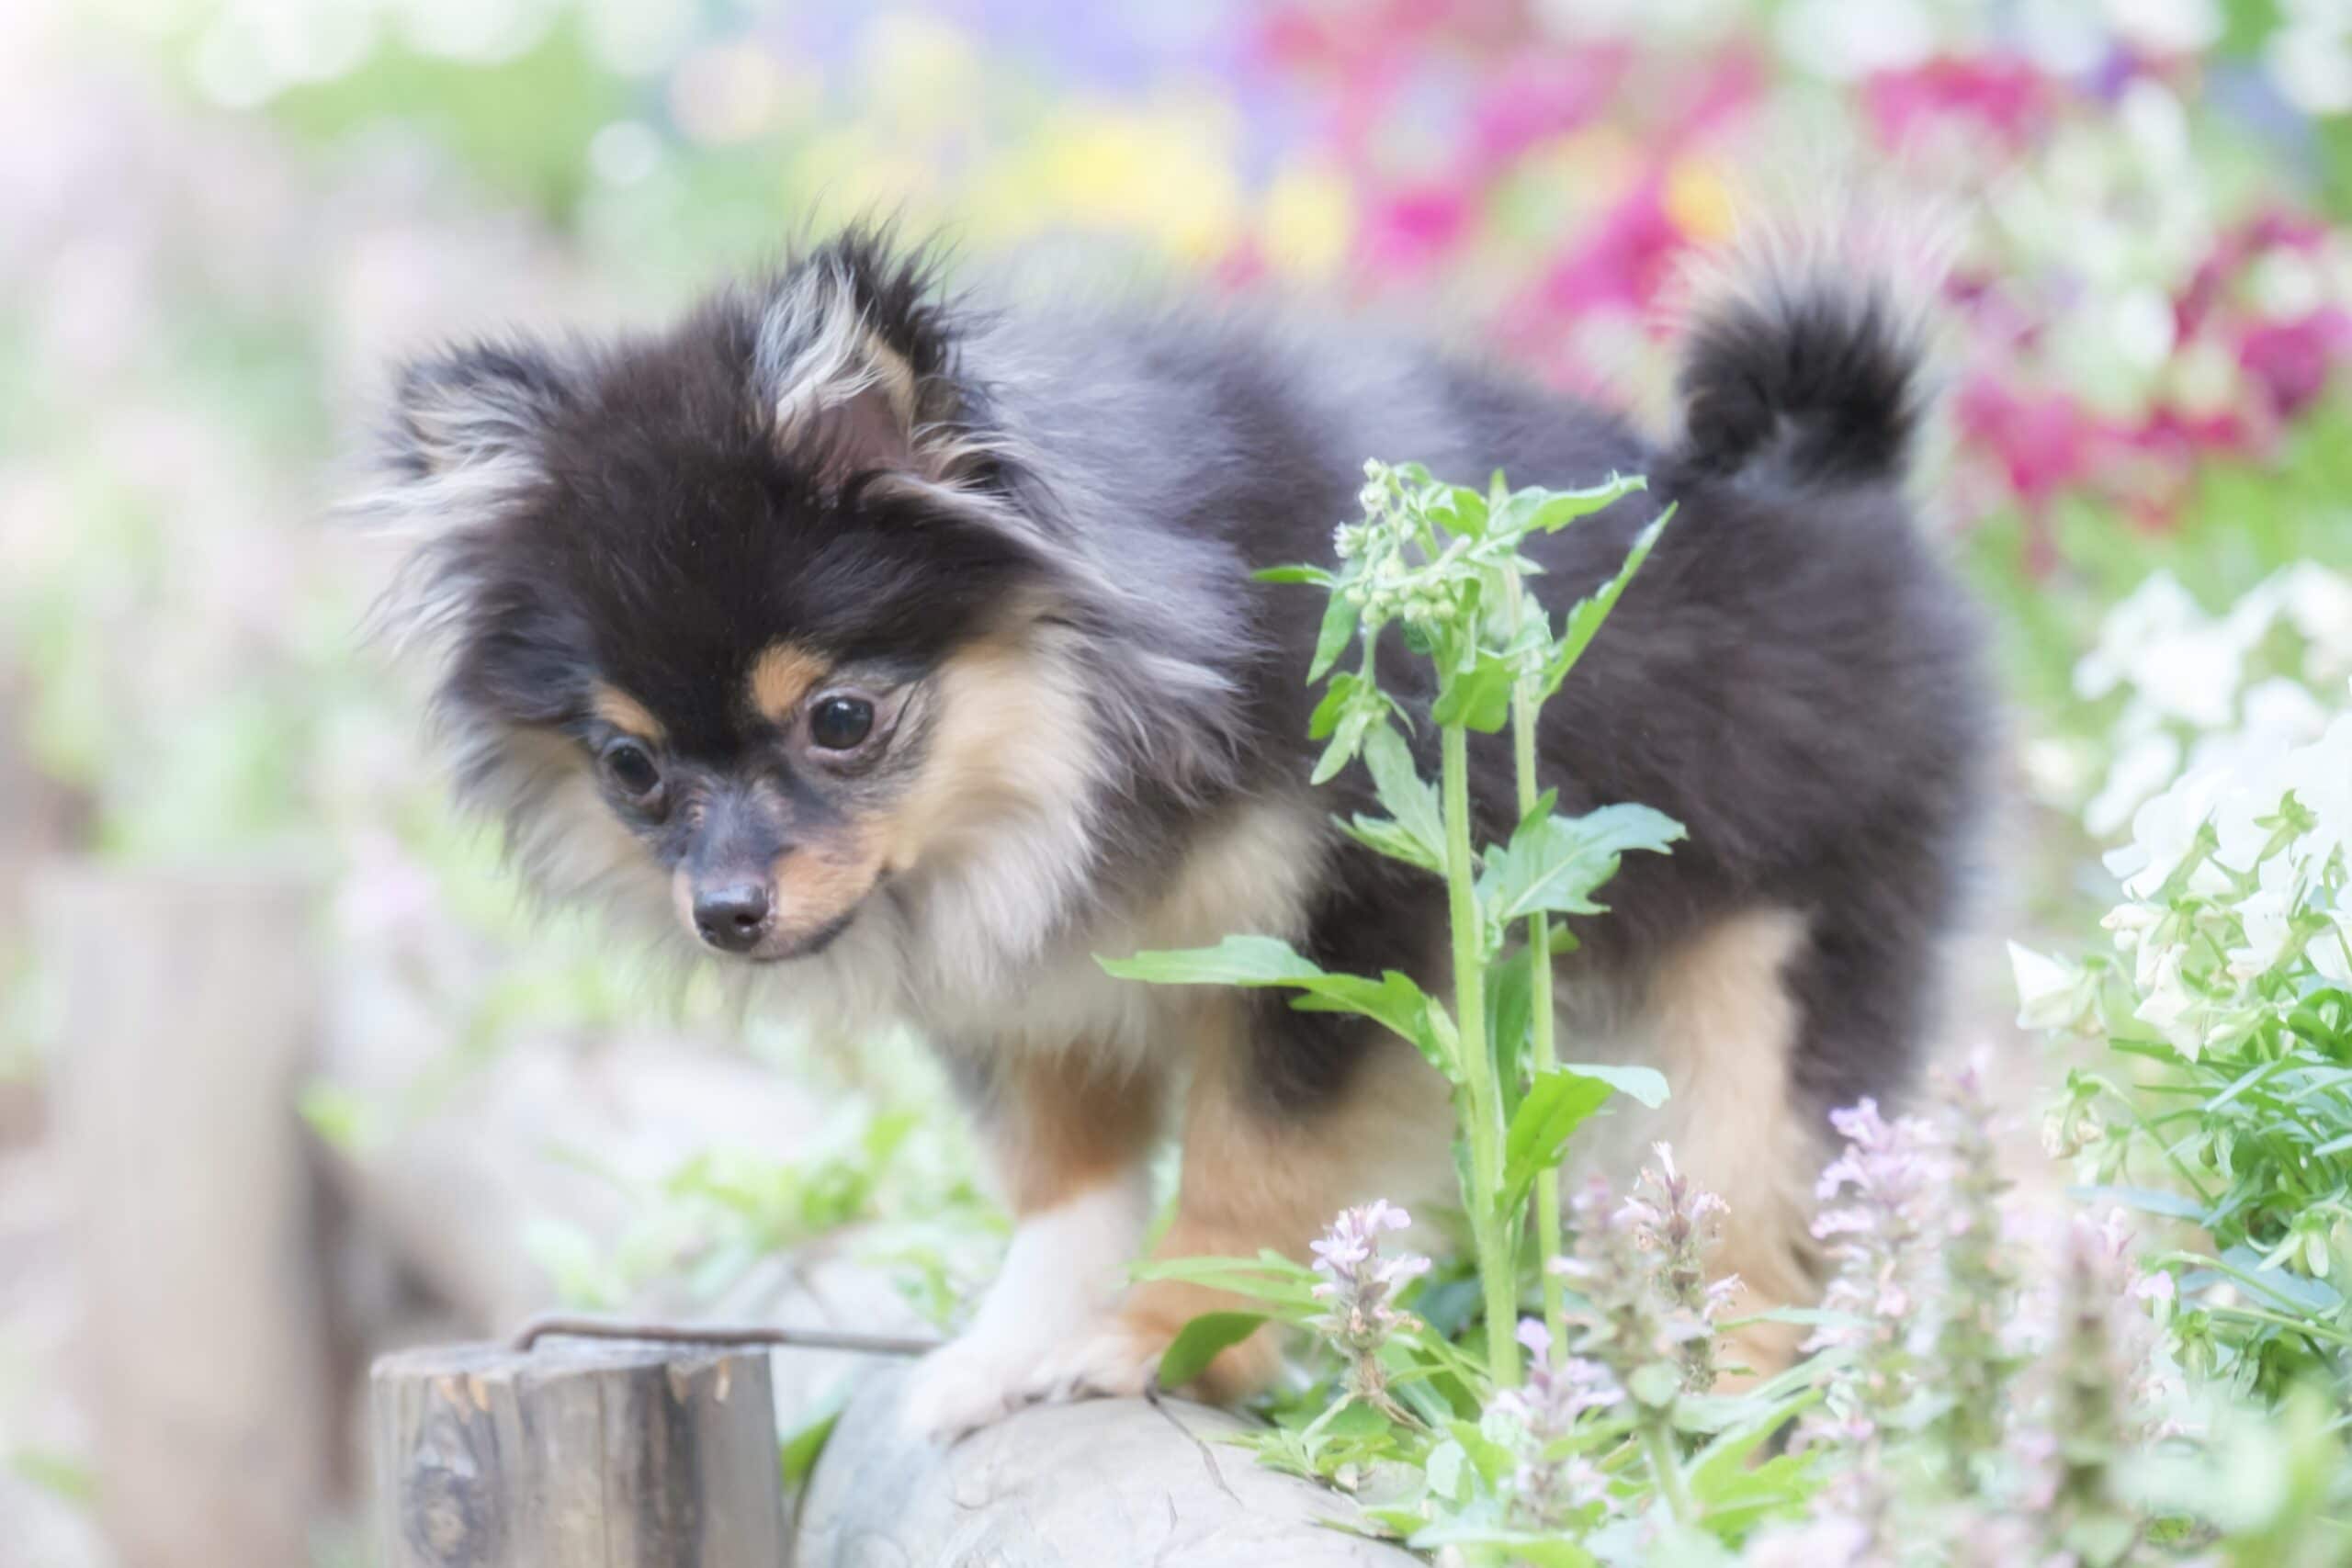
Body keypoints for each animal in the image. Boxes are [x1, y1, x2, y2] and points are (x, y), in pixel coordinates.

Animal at [362, 226, 1984, 1438]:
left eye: (840, 717)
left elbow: (1252, 1161)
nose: (726, 909)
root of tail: (1834, 480)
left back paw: (1717, 1413)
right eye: (632, 766)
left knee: (1751, 1201)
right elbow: (1063, 1181)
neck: (1077, 739)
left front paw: (1170, 1333)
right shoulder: (1021, 975)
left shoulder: (1344, 938)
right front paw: (1014, 1345)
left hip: (1776, 970)